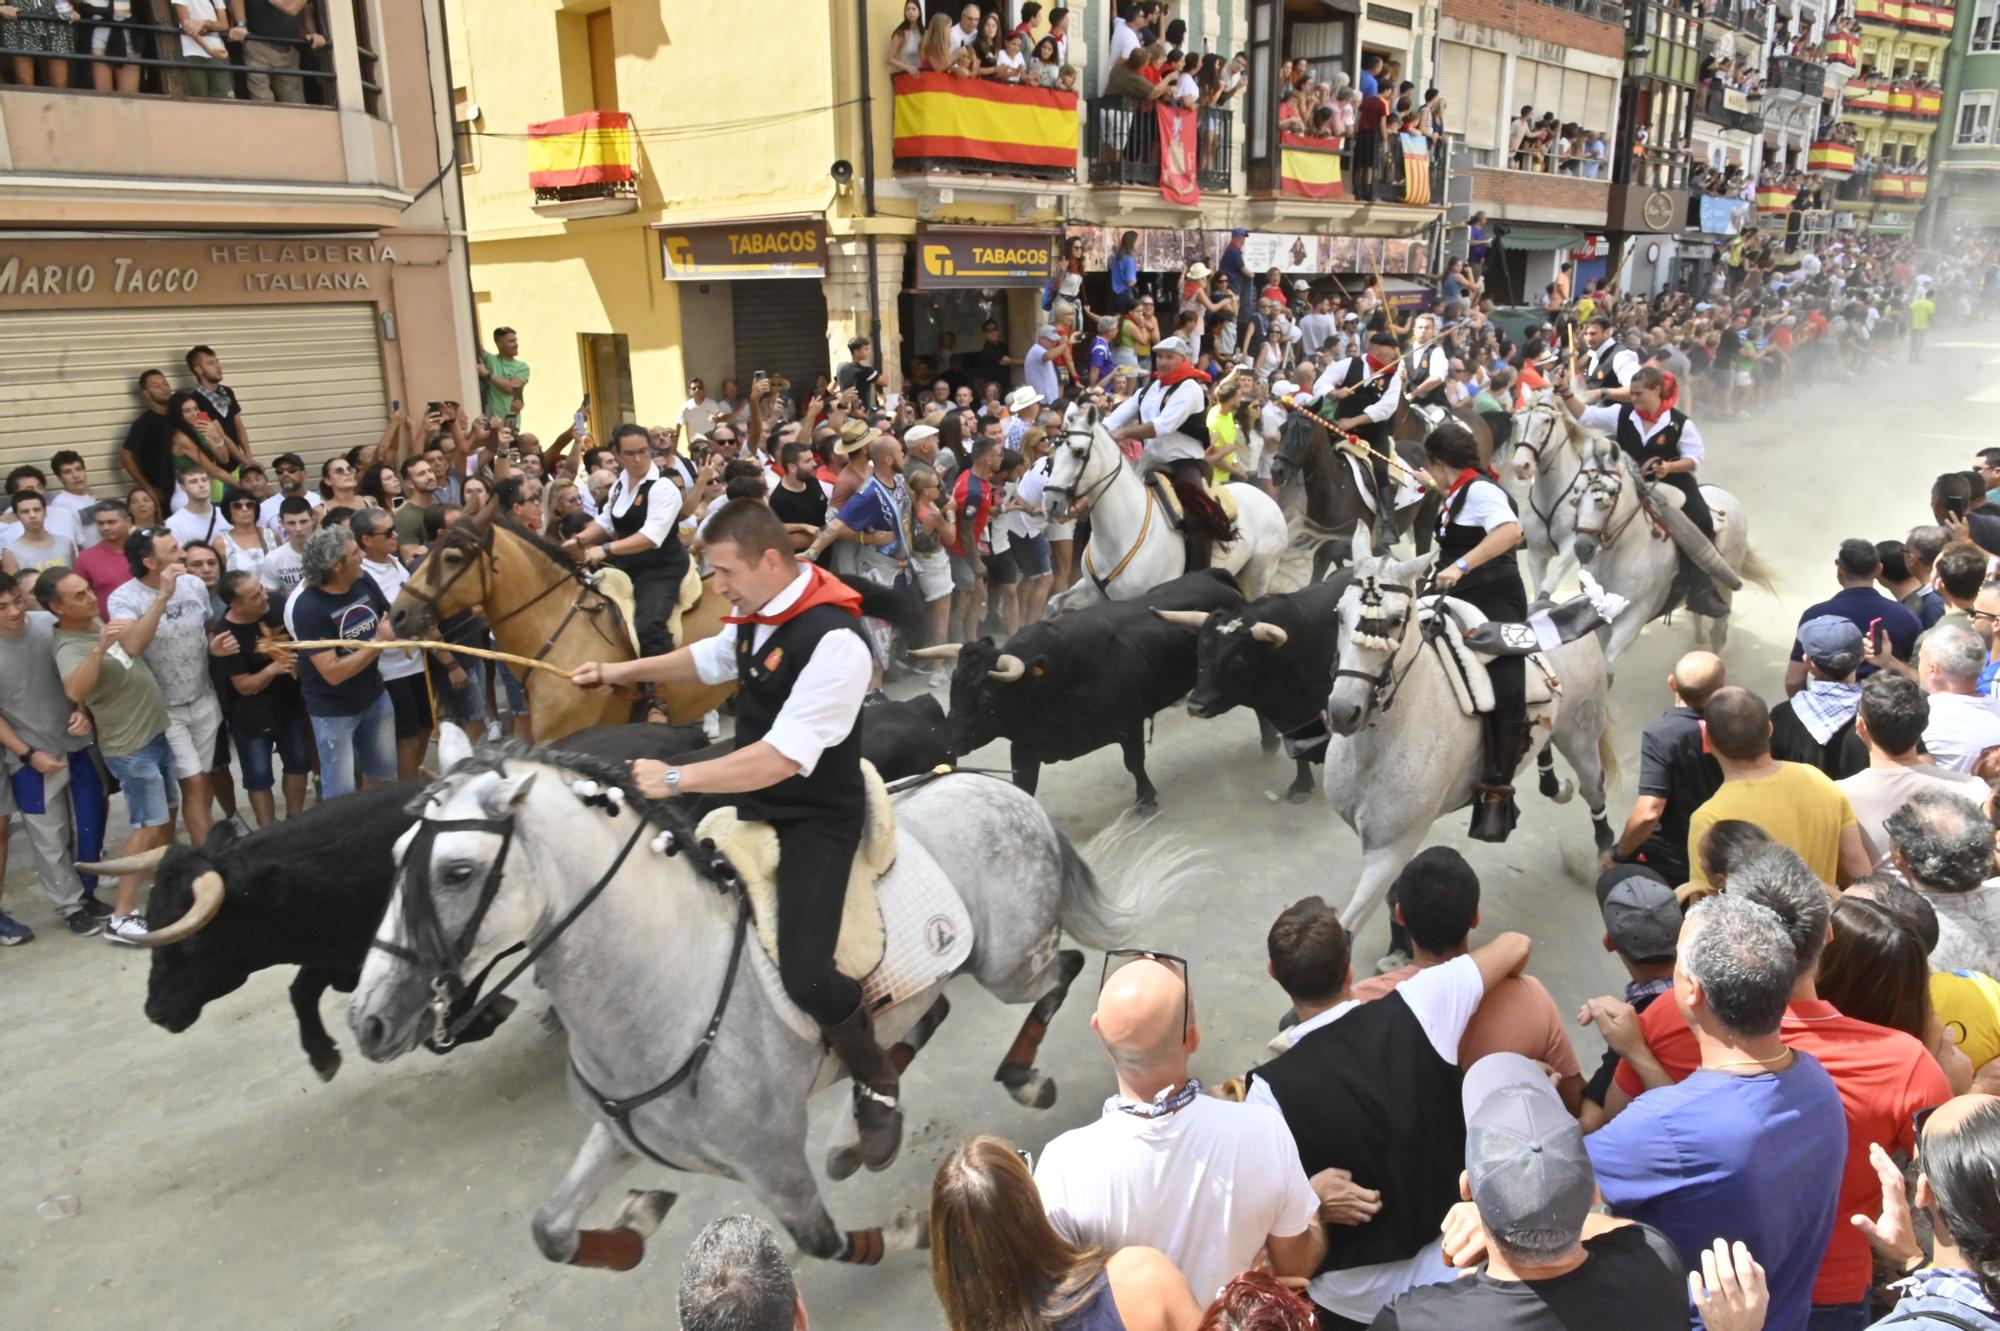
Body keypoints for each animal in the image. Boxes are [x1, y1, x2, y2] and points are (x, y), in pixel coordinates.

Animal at [1040, 399, 1288, 615]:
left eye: (1078, 452)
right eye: (1053, 451)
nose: (1051, 503)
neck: (1122, 533)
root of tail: (1269, 501)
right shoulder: (1093, 592)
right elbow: (1053, 604)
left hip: (1258, 575)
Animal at [1320, 527, 1616, 931]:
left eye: (1395, 620)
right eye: (1338, 614)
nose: (1342, 712)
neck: (1375, 749)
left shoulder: (1391, 847)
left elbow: (1348, 929)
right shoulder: (1386, 848)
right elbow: (1394, 900)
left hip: (1581, 736)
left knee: (1593, 788)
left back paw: (1604, 853)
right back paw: (1554, 784)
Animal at [1560, 433, 1768, 667]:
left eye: (1610, 493)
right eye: (1576, 492)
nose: (1583, 547)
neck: (1619, 554)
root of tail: (1725, 495)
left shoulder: (1633, 617)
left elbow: (1609, 663)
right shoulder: (1600, 616)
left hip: (1726, 582)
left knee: (1719, 630)